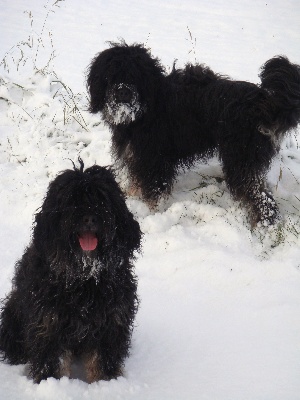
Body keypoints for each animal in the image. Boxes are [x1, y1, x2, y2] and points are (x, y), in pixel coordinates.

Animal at [0, 162, 142, 384]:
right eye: (71, 200)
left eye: (102, 199)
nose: (90, 218)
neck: (83, 278)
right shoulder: (48, 323)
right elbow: (52, 361)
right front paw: (51, 382)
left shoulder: (110, 322)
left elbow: (102, 359)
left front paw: (105, 383)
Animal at [86, 42, 300, 227]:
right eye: (110, 76)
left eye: (135, 75)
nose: (123, 92)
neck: (145, 110)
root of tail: (263, 101)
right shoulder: (138, 155)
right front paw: (131, 196)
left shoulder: (154, 160)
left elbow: (154, 191)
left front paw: (150, 213)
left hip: (241, 159)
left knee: (262, 198)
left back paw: (265, 229)